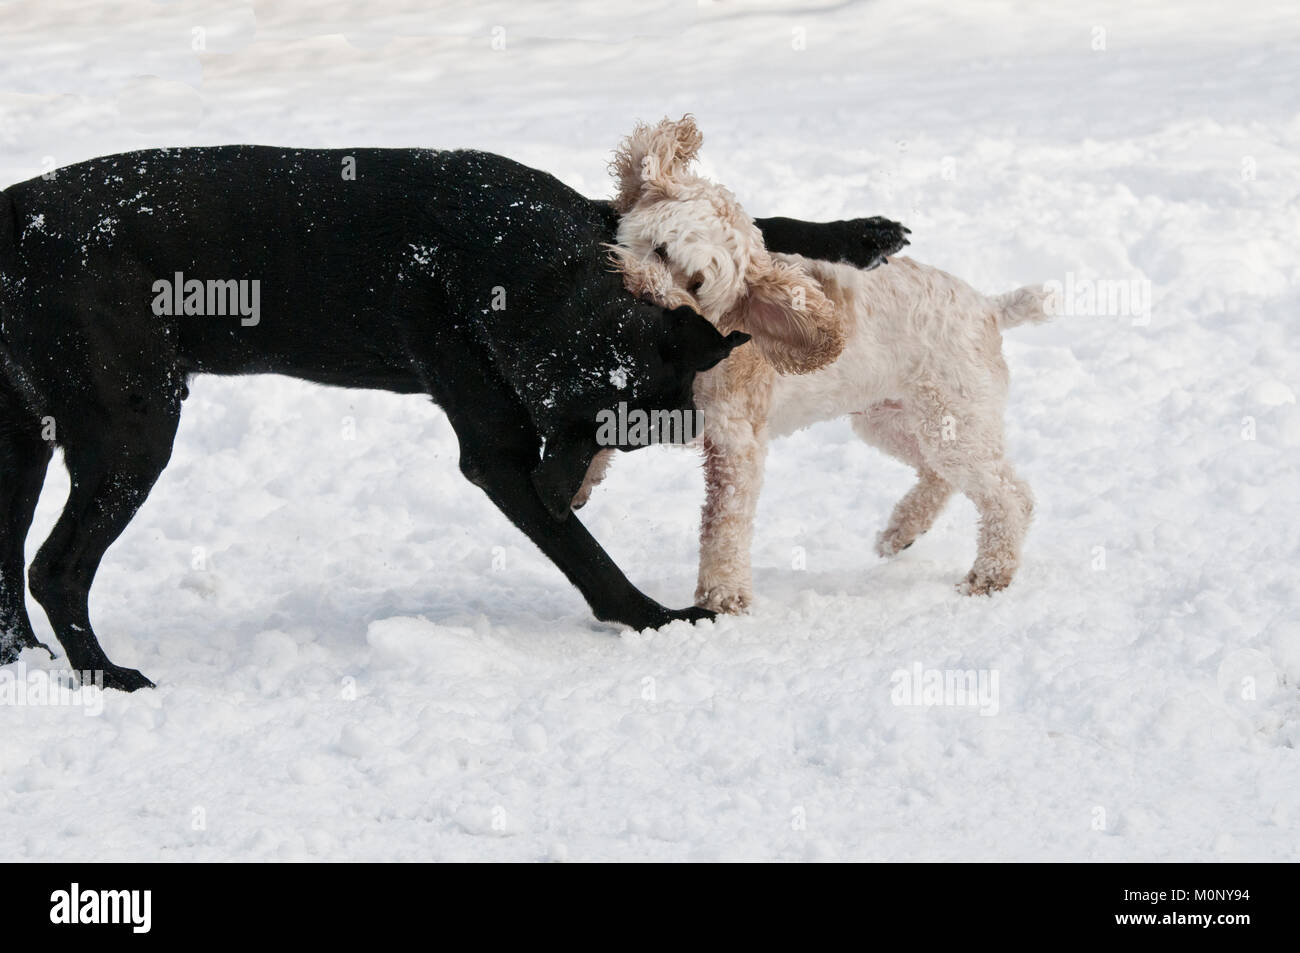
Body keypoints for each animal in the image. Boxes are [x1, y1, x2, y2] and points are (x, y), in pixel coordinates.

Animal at [0, 144, 904, 686]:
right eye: (635, 436)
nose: (689, 430)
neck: (521, 264)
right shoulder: (499, 454)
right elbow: (584, 553)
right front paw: (656, 618)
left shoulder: (597, 220)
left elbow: (770, 226)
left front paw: (861, 232)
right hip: (132, 428)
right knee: (54, 566)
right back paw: (106, 673)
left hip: (26, 438)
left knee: (11, 559)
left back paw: (24, 659)